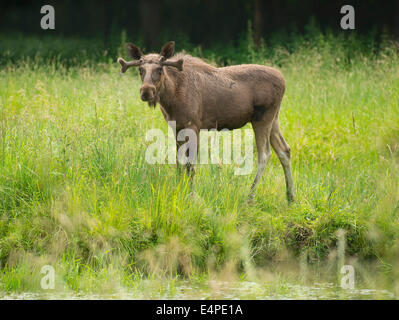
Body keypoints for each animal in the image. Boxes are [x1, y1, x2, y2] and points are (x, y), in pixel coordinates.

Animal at [117, 41, 296, 201]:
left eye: (160, 70)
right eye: (140, 70)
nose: (146, 91)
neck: (171, 99)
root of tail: (284, 81)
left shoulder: (193, 126)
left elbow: (190, 165)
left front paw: (190, 196)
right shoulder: (176, 127)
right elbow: (178, 162)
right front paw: (179, 190)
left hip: (262, 118)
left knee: (265, 154)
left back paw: (250, 197)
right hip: (274, 118)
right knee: (284, 149)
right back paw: (291, 196)